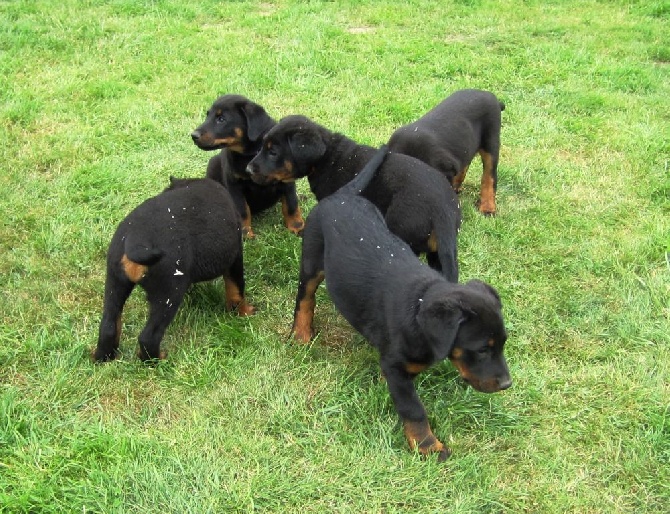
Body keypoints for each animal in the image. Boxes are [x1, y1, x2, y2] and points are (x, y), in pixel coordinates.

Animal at [92, 178, 255, 362]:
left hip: (115, 281)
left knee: (108, 326)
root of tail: (136, 239)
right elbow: (236, 290)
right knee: (149, 337)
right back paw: (157, 359)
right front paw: (245, 312)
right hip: (168, 292)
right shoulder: (235, 256)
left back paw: (103, 357)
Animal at [189, 95, 304, 237]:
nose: (193, 135)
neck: (250, 154)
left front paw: (297, 226)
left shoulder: (287, 181)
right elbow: (242, 209)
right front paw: (245, 233)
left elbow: (291, 204)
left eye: (221, 119)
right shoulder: (234, 185)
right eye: (207, 115)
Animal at [296, 145, 516, 460]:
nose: (507, 384)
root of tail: (342, 195)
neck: (419, 306)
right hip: (312, 259)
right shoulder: (397, 367)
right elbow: (413, 409)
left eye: (502, 345)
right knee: (305, 297)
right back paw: (301, 333)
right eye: (482, 350)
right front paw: (428, 446)